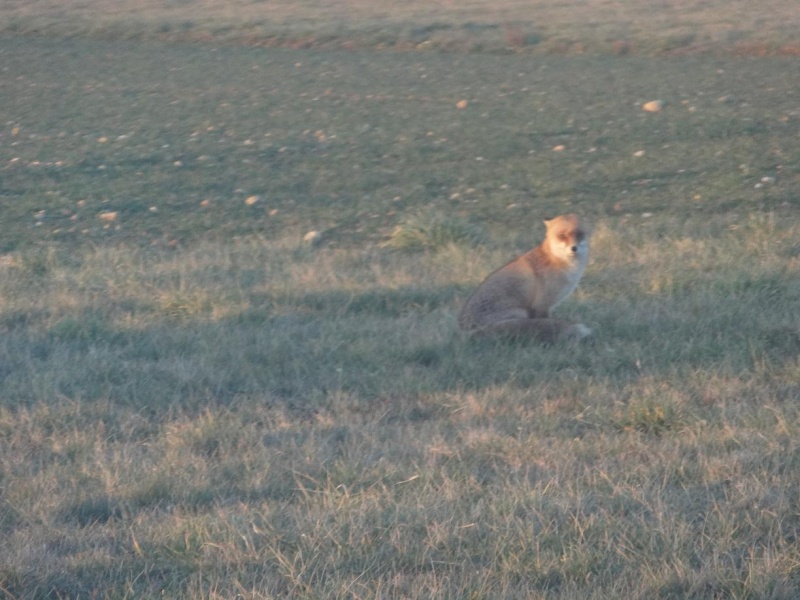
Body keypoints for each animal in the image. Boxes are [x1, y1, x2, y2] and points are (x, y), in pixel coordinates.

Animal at [460, 213, 592, 342]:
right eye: (562, 236)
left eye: (579, 234)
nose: (574, 248)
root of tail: (464, 330)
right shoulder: (542, 305)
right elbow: (547, 321)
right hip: (521, 313)